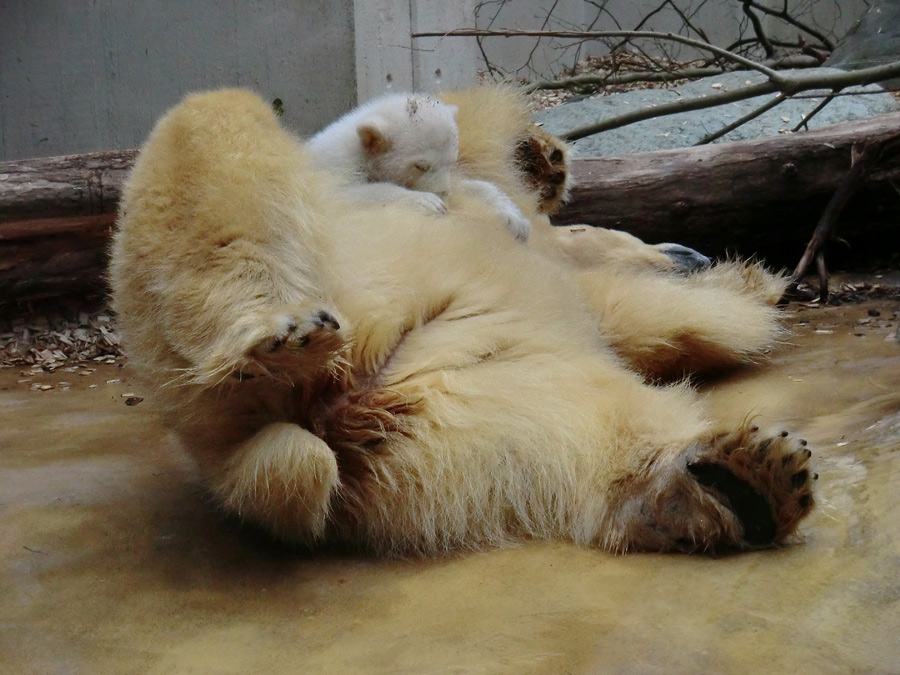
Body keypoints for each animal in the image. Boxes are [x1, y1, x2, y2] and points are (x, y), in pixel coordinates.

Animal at [109, 87, 812, 556]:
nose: (690, 253)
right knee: (211, 126)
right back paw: (275, 337)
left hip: (460, 406)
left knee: (579, 424)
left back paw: (738, 484)